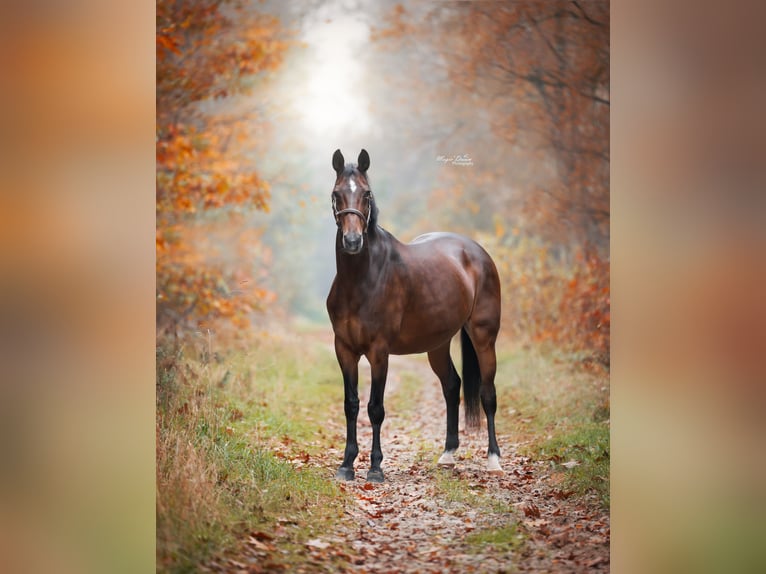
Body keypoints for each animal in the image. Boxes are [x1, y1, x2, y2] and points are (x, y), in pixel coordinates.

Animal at [326, 149, 503, 483]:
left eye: (367, 194)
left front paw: (375, 468)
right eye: (336, 194)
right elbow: (351, 404)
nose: (353, 242)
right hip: (438, 344)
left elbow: (376, 408)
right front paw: (346, 464)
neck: (360, 280)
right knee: (452, 386)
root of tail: (476, 251)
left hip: (484, 338)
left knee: (487, 393)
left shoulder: (379, 351)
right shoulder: (344, 349)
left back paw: (494, 459)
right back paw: (448, 454)